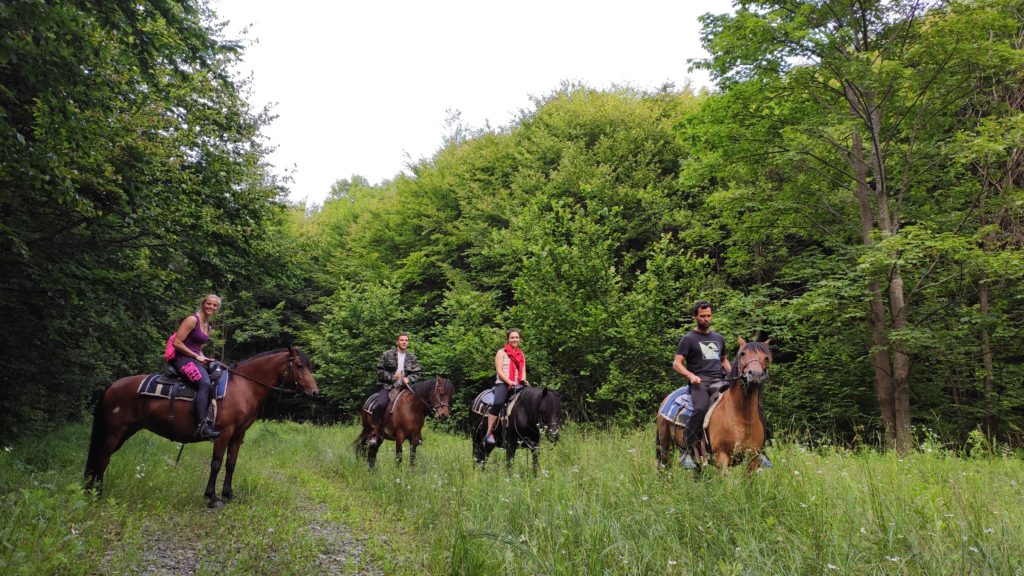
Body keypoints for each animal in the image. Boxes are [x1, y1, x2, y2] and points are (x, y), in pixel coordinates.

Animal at [84, 346, 319, 508]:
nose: (315, 392)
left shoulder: (238, 436)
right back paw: (97, 493)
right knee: (103, 458)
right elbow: (216, 463)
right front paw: (212, 497)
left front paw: (229, 494)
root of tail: (113, 385)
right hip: (116, 431)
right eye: (300, 366)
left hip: (126, 430)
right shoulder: (223, 433)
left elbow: (231, 464)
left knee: (101, 457)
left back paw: (92, 490)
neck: (243, 387)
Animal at [703, 338, 772, 472]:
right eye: (742, 354)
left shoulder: (753, 459)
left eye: (766, 358)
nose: (755, 374)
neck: (744, 419)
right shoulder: (721, 456)